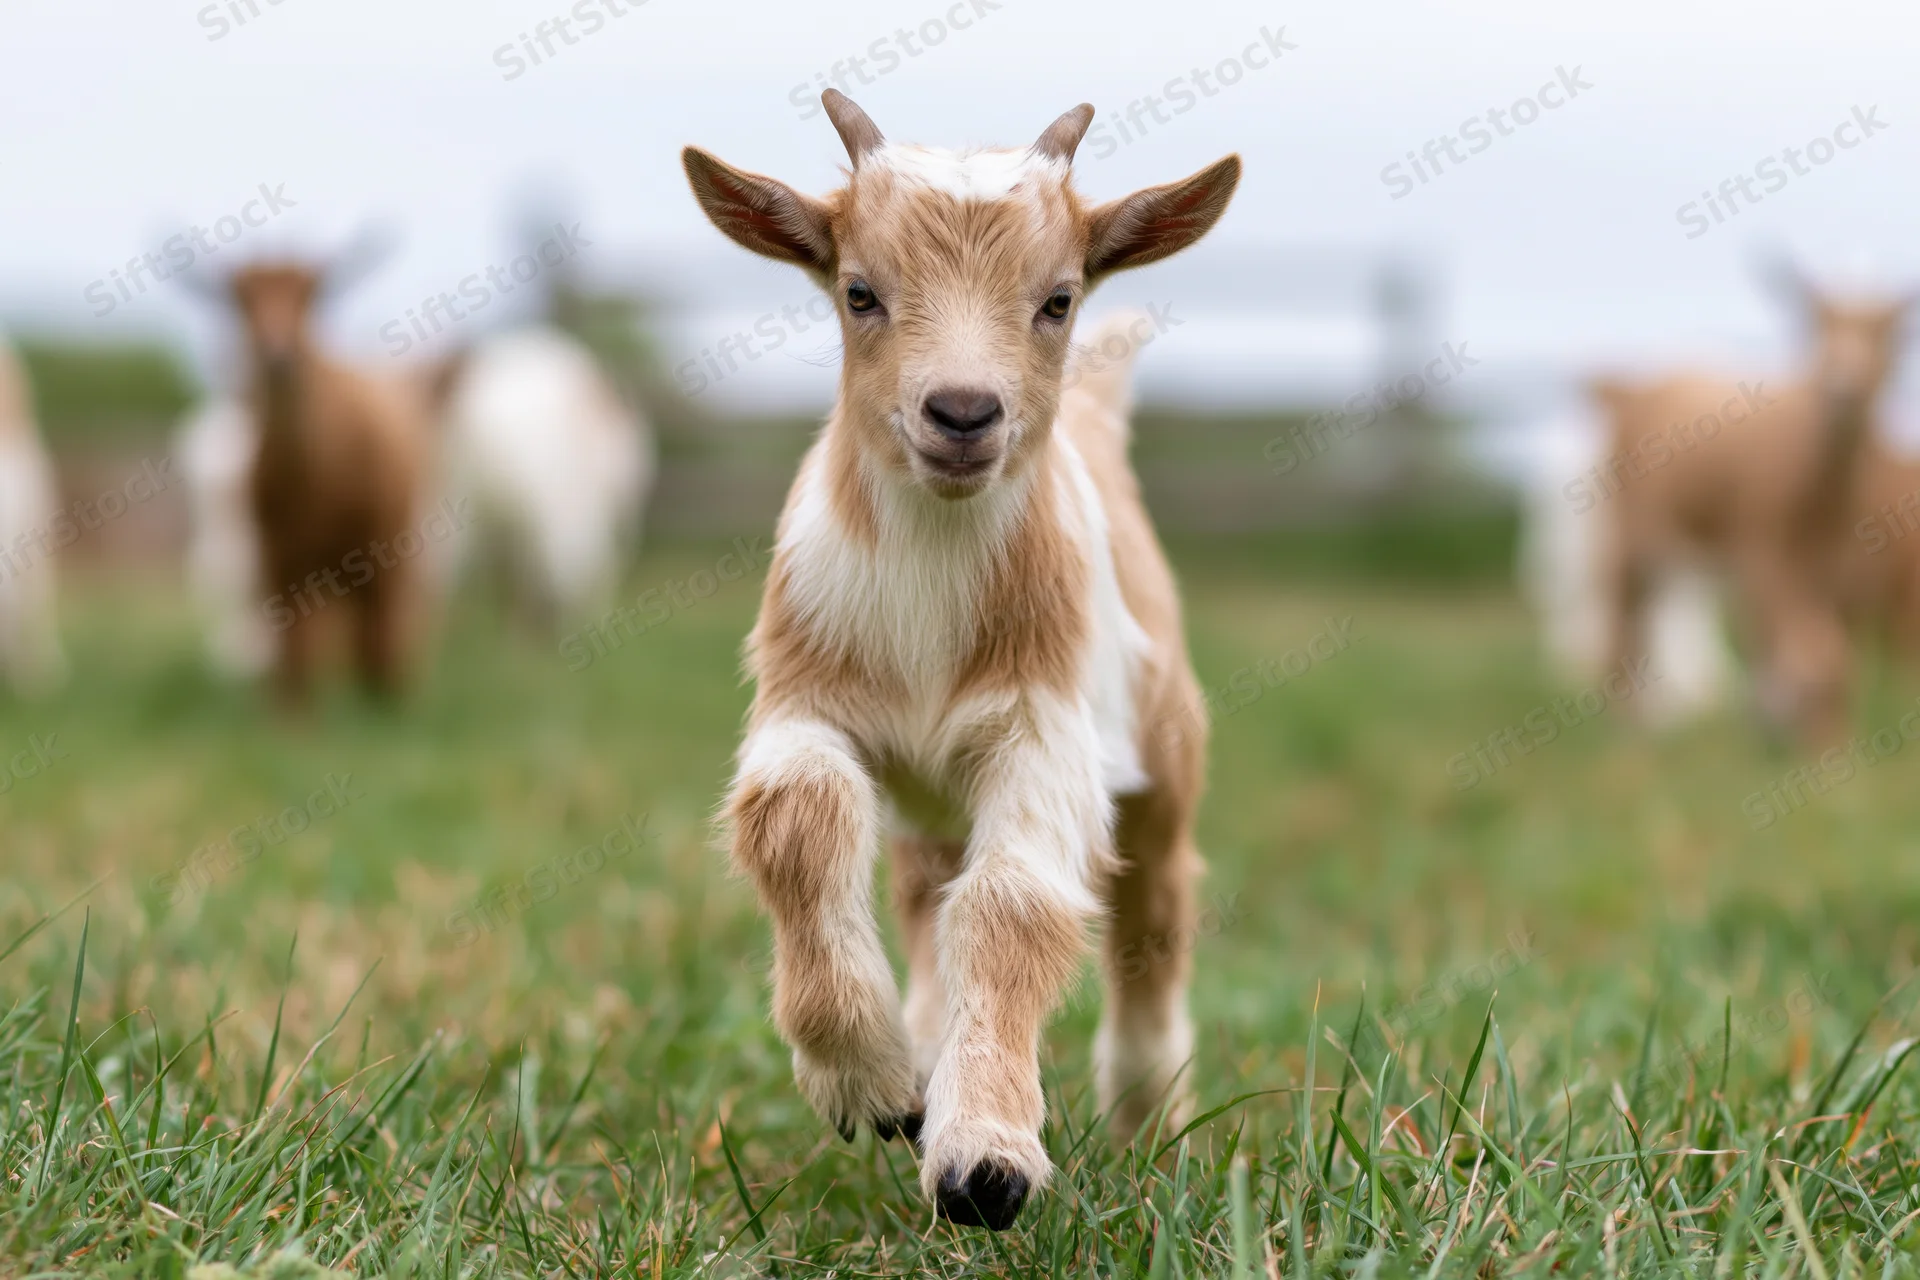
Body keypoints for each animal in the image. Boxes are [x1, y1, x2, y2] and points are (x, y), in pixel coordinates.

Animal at [684, 93, 1239, 1230]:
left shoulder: (1044, 730)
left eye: (1058, 299)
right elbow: (797, 821)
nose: (963, 413)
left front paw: (985, 1160)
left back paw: (1149, 1112)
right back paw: (924, 1052)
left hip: (1162, 749)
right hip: (926, 801)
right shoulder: (806, 700)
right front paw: (872, 1083)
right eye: (859, 291)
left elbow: (1013, 905)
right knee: (924, 894)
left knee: (1153, 910)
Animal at [1591, 277, 1912, 744]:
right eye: (1817, 326)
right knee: (1625, 614)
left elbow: (1832, 655)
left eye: (1887, 334)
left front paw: (1826, 736)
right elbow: (1810, 655)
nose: (1842, 391)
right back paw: (1632, 725)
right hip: (1634, 539)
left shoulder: (1834, 568)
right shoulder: (1763, 554)